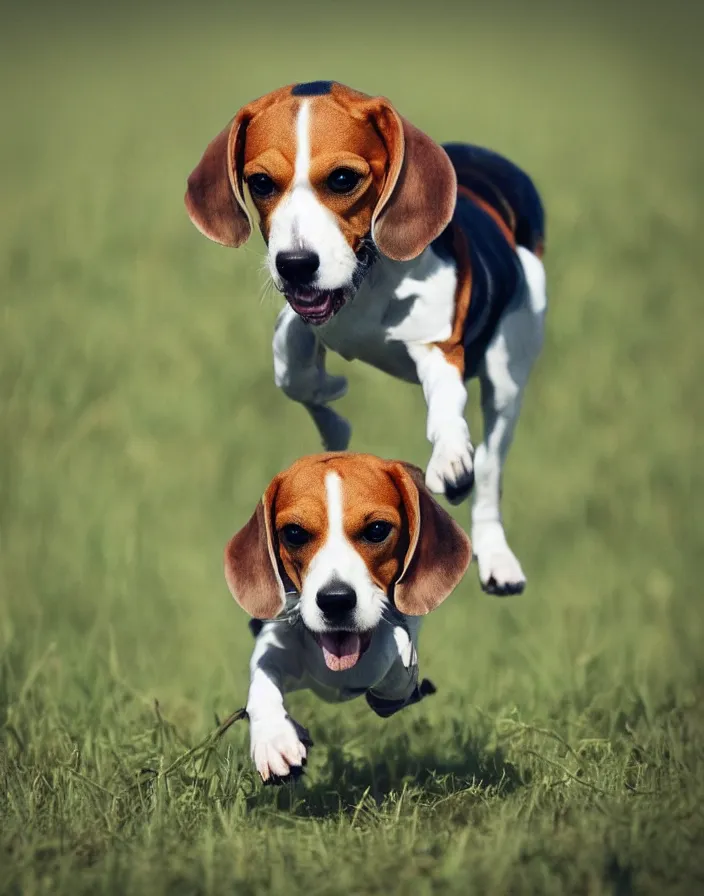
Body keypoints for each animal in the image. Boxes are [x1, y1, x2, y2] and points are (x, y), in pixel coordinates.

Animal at [184, 82, 548, 596]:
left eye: (342, 179)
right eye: (260, 183)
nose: (295, 264)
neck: (369, 277)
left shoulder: (438, 345)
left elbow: (447, 408)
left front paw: (451, 458)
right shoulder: (303, 316)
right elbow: (292, 370)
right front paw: (332, 416)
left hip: (508, 374)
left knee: (492, 468)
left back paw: (497, 558)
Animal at [226, 452, 470, 780]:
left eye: (377, 530)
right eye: (294, 533)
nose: (335, 600)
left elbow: (393, 651)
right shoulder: (276, 639)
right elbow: (263, 679)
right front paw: (274, 740)